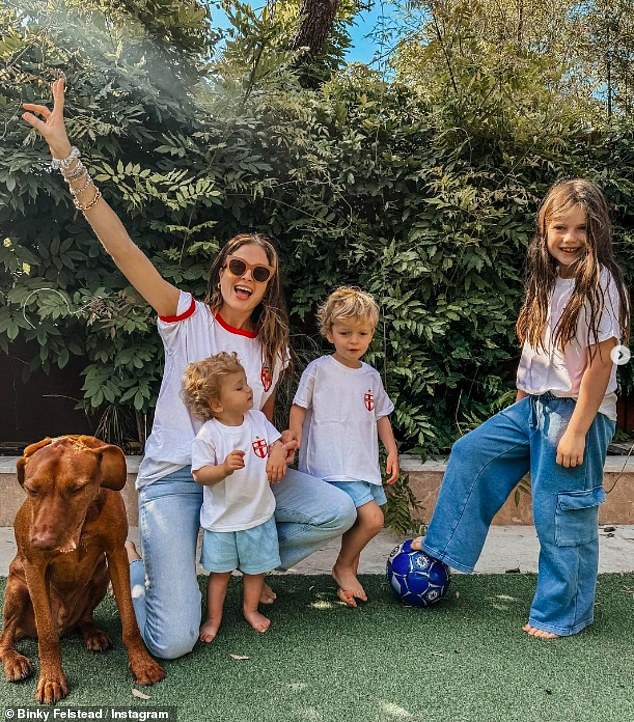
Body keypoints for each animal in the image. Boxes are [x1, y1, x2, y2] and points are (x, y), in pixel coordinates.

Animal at [0, 436, 165, 700]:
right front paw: (51, 679)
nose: (41, 543)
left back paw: (92, 633)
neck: (86, 519)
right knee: (5, 636)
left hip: (101, 576)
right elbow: (46, 633)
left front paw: (142, 664)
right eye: (32, 490)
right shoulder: (34, 567)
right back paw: (14, 660)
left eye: (77, 489)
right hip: (17, 589)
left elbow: (130, 621)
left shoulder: (116, 555)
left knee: (84, 617)